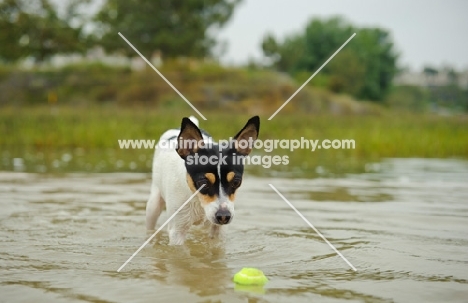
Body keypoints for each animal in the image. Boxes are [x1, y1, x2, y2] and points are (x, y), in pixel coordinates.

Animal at [146, 115, 260, 246]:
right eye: (203, 183)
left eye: (236, 182)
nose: (223, 216)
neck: (197, 198)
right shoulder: (177, 232)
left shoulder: (219, 230)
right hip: (153, 206)